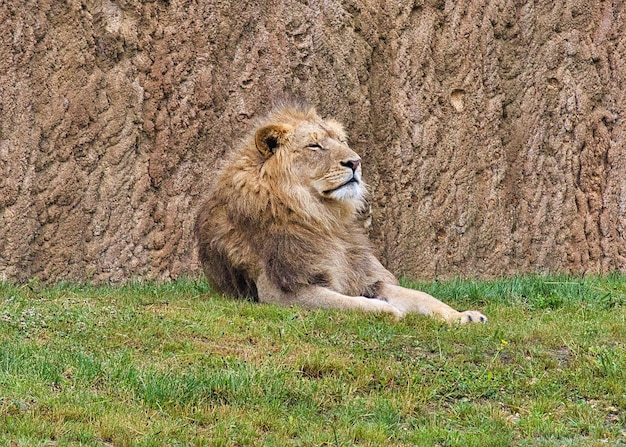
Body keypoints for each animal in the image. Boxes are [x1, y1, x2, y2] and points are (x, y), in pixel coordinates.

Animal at [193, 103, 486, 324]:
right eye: (314, 146)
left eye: (342, 141)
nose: (355, 162)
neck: (324, 218)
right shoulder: (280, 291)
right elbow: (347, 303)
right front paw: (389, 311)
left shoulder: (366, 278)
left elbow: (421, 296)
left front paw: (463, 316)